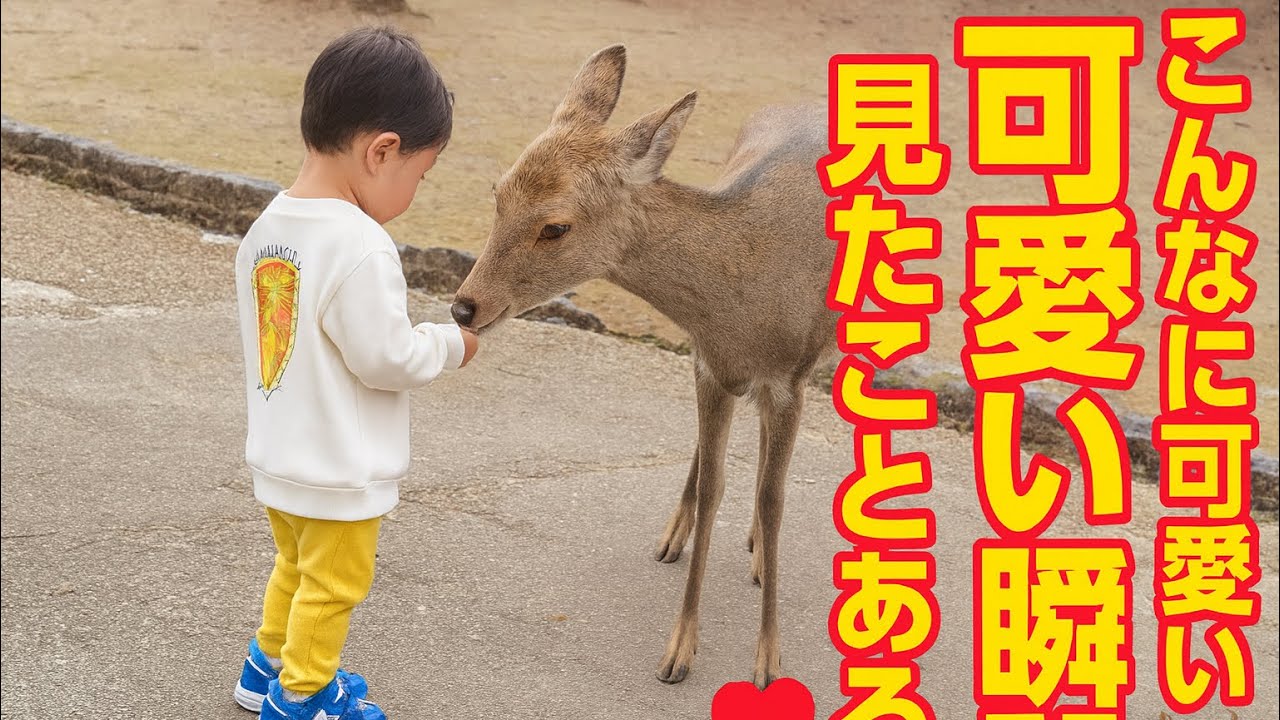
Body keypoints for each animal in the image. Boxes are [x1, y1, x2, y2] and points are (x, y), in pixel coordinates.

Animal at [450, 44, 837, 689]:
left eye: (556, 225)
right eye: (498, 193)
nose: (463, 306)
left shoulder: (790, 377)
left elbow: (774, 499)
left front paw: (767, 662)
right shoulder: (709, 364)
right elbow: (714, 485)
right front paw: (680, 649)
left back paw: (757, 553)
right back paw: (677, 536)